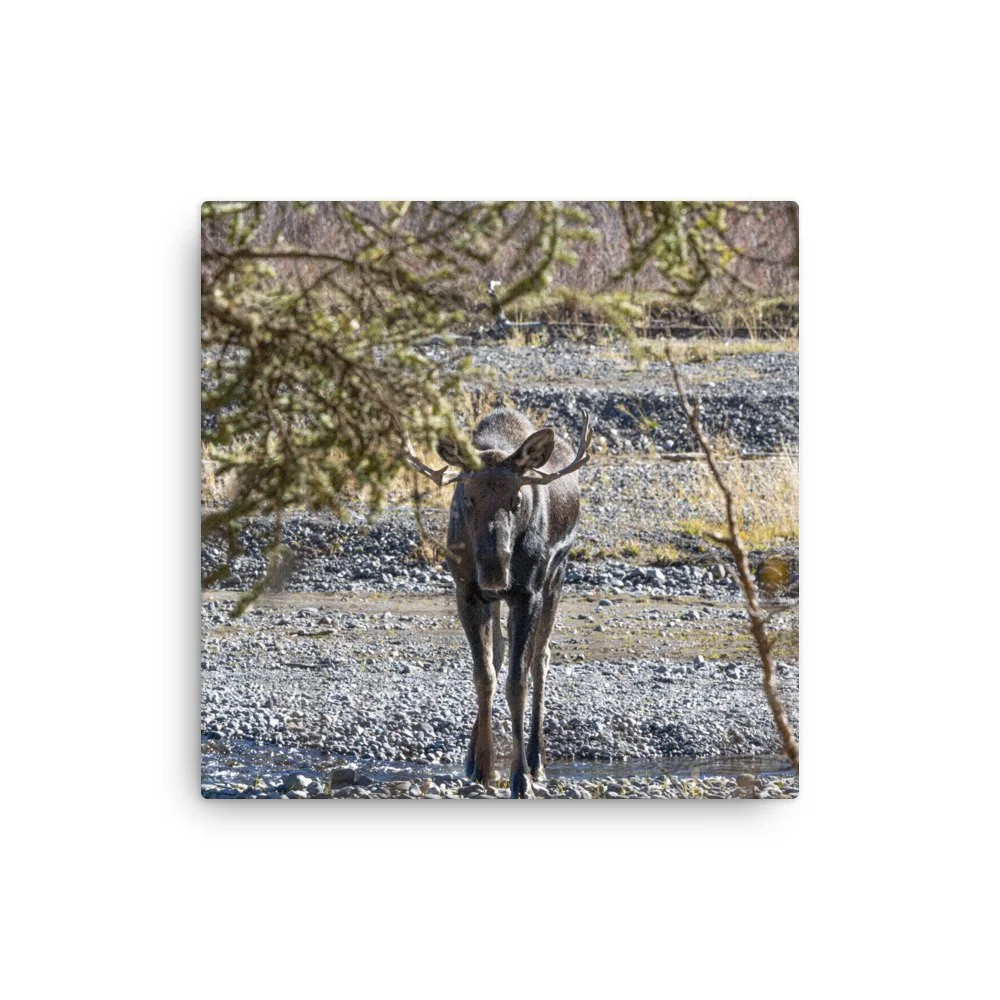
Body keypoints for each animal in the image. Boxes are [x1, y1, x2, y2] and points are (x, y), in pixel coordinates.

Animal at [406, 407, 592, 798]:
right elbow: (484, 674)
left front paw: (520, 778)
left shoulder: (526, 593)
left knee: (541, 658)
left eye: (516, 501)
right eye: (467, 498)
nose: (494, 568)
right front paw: (483, 767)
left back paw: (537, 762)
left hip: (557, 573)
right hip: (496, 600)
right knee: (501, 653)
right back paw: (472, 757)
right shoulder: (466, 592)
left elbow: (517, 682)